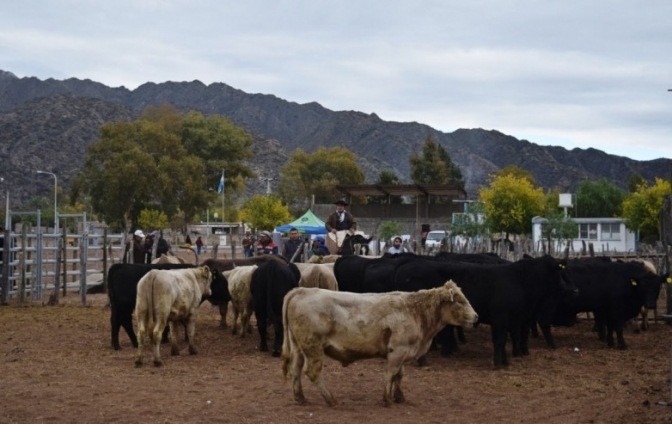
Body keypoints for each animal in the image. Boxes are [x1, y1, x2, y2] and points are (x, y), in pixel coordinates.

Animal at [282, 280, 478, 406]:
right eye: (459, 301)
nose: (476, 317)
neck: (415, 311)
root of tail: (301, 290)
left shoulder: (404, 351)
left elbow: (399, 375)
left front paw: (399, 396)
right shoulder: (397, 351)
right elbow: (391, 374)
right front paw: (387, 399)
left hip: (298, 347)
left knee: (296, 369)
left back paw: (300, 398)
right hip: (313, 347)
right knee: (312, 372)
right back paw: (331, 399)